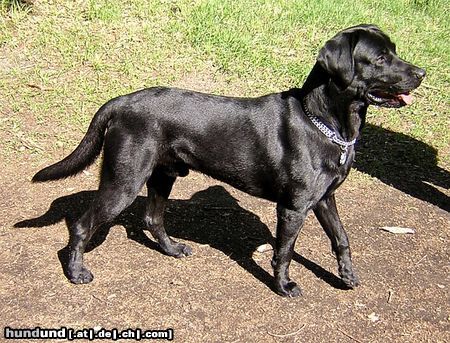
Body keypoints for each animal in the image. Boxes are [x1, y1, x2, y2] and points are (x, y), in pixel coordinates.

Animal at [33, 25, 424, 296]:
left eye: (394, 51)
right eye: (380, 58)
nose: (421, 73)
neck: (323, 122)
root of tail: (119, 102)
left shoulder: (325, 199)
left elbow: (342, 239)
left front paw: (347, 277)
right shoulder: (294, 207)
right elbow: (284, 252)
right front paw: (283, 286)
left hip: (162, 175)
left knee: (152, 218)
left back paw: (172, 250)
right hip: (124, 181)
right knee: (81, 226)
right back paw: (76, 273)